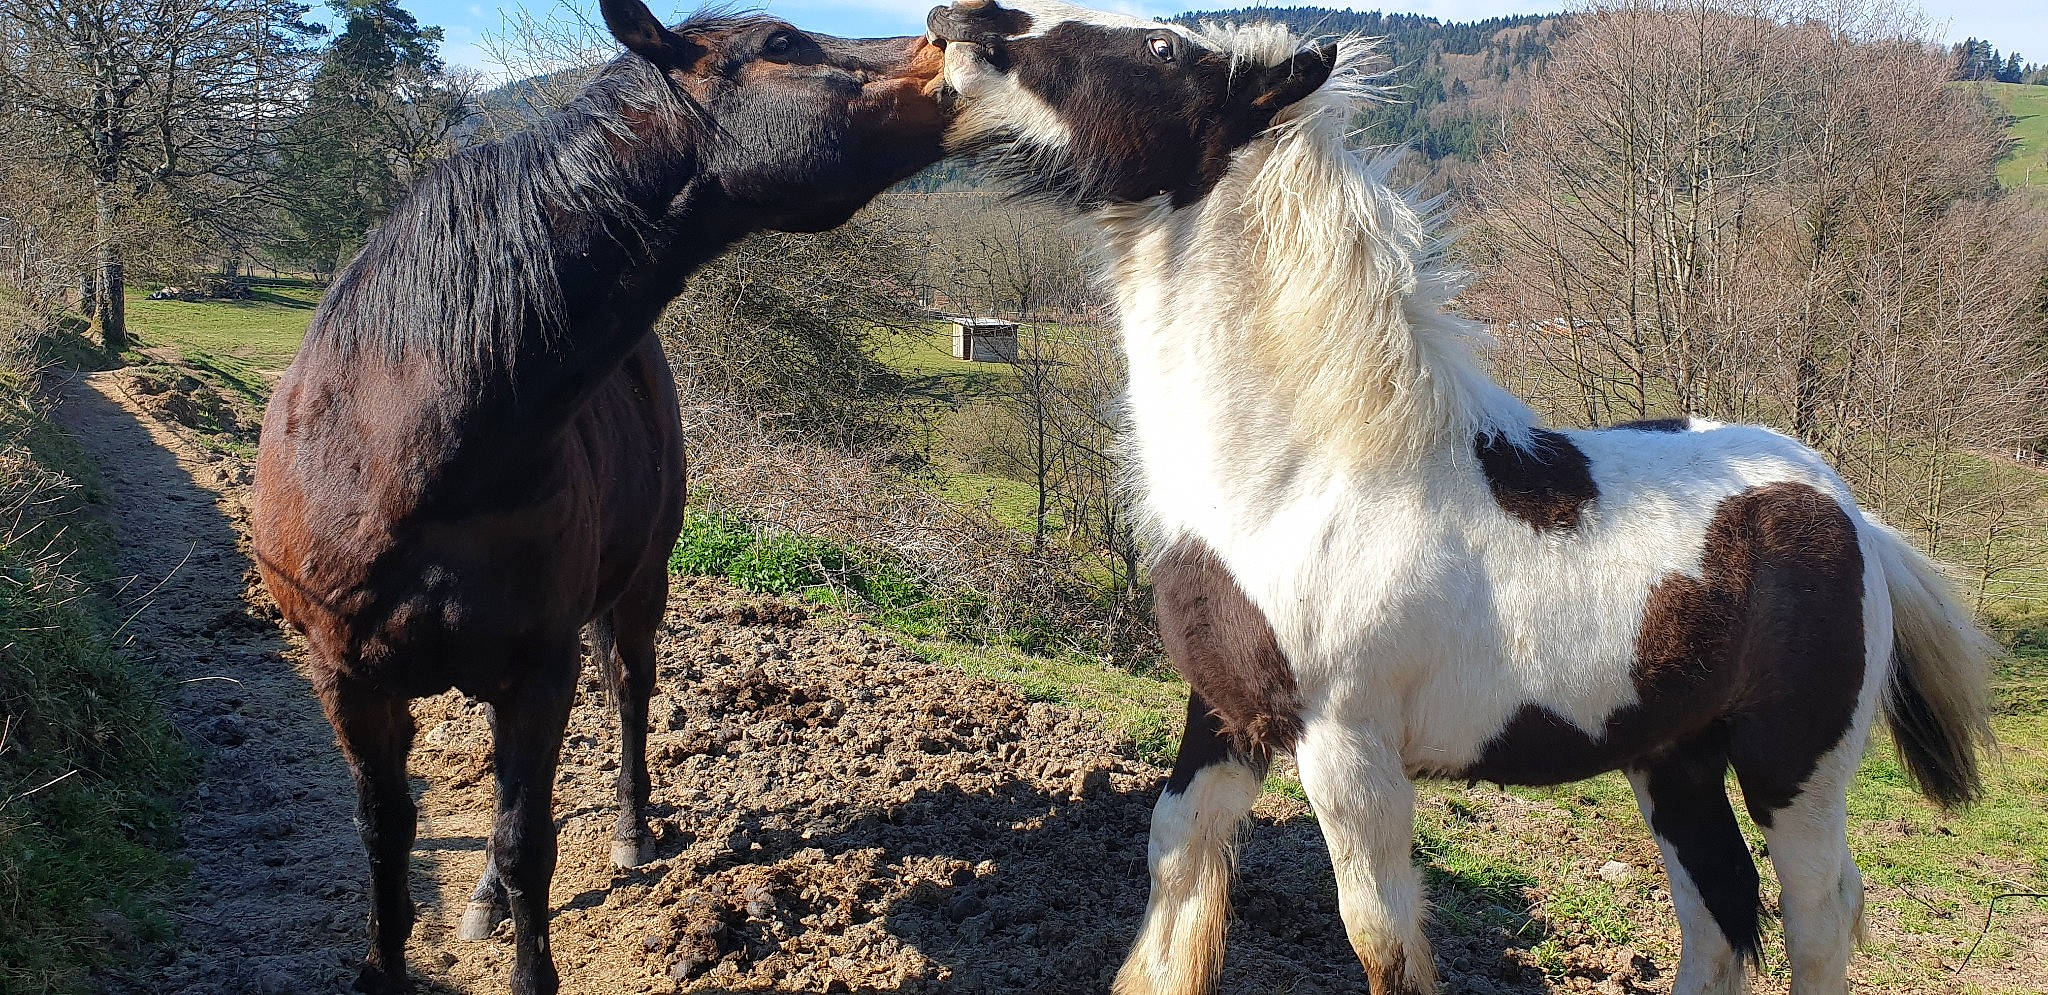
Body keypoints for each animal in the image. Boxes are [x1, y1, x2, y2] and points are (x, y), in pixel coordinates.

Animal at [250, 3, 948, 991]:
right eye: (781, 44)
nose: (957, 43)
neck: (407, 441)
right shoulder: (348, 680)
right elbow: (387, 836)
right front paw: (388, 962)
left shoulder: (540, 668)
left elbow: (526, 843)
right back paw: (483, 900)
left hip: (639, 588)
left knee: (628, 694)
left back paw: (626, 833)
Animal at [923, 4, 1999, 993]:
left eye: (1160, 48)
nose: (961, 25)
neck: (1306, 474)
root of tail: (1847, 509)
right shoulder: (1226, 714)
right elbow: (1174, 867)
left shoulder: (1347, 750)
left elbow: (1380, 939)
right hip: (1674, 757)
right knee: (1720, 915)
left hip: (1795, 767)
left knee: (1817, 912)